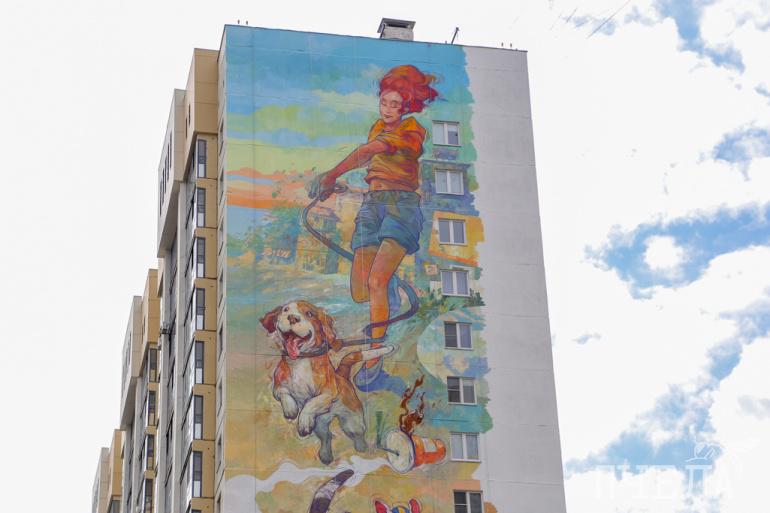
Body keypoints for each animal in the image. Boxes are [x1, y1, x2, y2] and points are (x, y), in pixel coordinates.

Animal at [260, 300, 394, 464]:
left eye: (309, 314)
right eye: (285, 310)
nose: (292, 318)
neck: (301, 360)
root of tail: (342, 375)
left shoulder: (328, 393)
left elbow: (311, 403)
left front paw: (303, 420)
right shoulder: (278, 387)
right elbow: (285, 394)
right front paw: (291, 409)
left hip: (352, 422)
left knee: (357, 434)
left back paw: (361, 447)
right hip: (320, 424)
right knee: (327, 436)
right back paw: (326, 455)